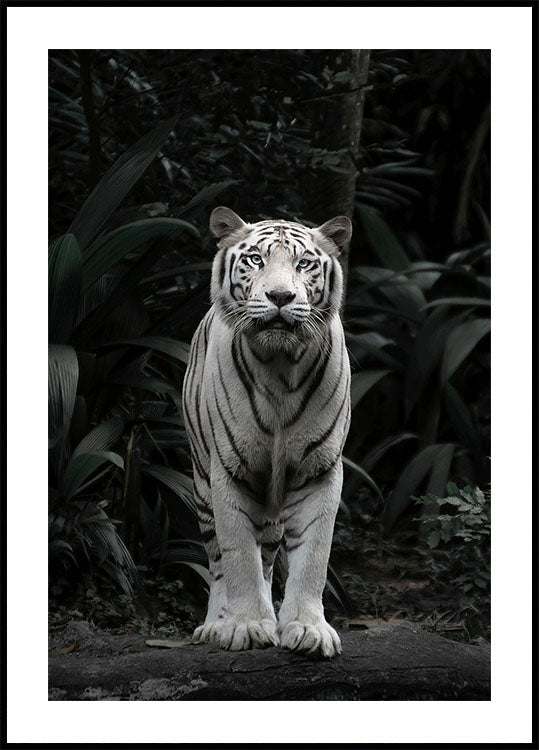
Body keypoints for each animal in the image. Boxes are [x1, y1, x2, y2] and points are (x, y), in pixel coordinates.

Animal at [182, 206, 352, 658]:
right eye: (256, 259)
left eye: (304, 263)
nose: (280, 297)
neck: (280, 365)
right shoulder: (229, 470)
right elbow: (238, 556)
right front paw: (245, 626)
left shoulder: (319, 470)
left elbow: (313, 556)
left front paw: (307, 629)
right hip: (201, 484)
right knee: (218, 562)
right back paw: (215, 624)